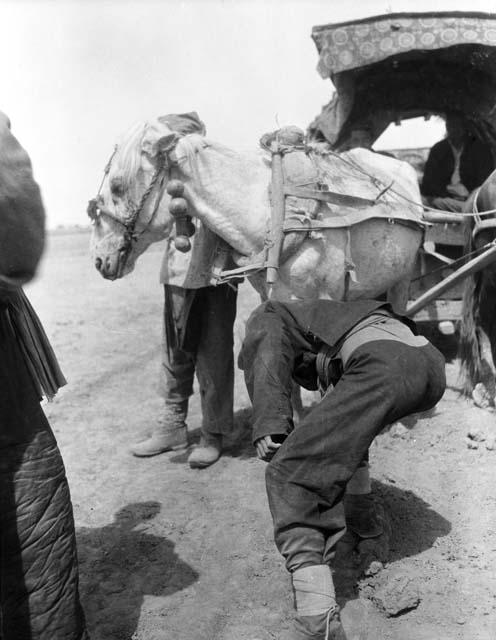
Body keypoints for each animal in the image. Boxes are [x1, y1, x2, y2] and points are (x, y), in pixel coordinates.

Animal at [89, 120, 422, 310]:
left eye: (117, 186)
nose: (99, 259)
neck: (271, 210)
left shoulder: (325, 301)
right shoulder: (272, 299)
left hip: (402, 279)